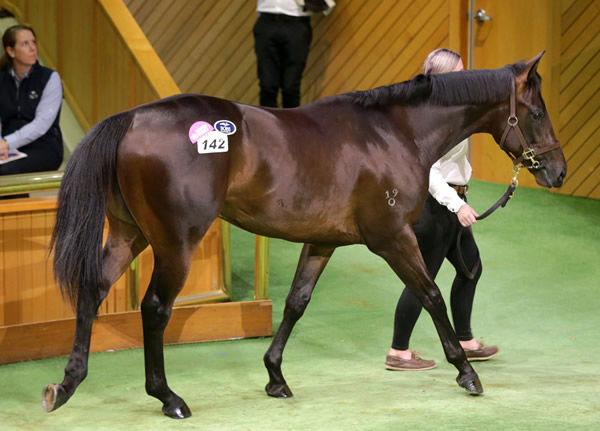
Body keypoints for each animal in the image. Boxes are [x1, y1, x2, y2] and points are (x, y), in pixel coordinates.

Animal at [42, 50, 568, 418]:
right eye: (537, 113)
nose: (558, 172)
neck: (393, 133)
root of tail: (131, 119)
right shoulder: (393, 238)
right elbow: (431, 295)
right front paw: (466, 372)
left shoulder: (322, 241)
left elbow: (297, 302)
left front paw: (275, 376)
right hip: (175, 243)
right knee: (154, 309)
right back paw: (168, 397)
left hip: (129, 234)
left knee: (92, 289)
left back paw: (65, 386)